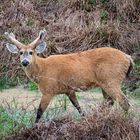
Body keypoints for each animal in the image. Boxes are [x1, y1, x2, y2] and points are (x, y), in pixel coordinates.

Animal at [4, 29, 133, 122]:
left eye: (31, 52)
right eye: (20, 53)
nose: (25, 62)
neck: (42, 70)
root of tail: (128, 58)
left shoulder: (48, 90)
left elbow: (39, 112)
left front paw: (34, 127)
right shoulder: (69, 90)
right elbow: (78, 107)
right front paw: (85, 119)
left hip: (111, 80)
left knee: (124, 103)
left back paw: (126, 120)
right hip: (104, 83)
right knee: (109, 102)